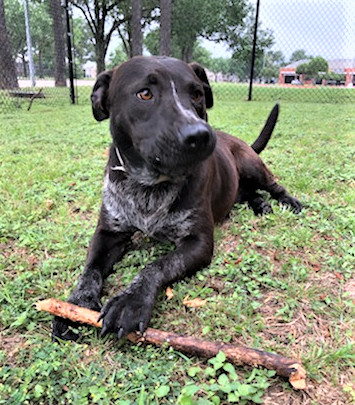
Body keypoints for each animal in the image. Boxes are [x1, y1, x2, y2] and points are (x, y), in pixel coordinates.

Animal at [52, 55, 304, 340]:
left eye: (197, 94)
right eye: (145, 93)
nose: (200, 134)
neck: (149, 187)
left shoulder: (198, 242)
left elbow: (157, 266)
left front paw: (131, 301)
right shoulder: (108, 233)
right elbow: (90, 270)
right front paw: (76, 306)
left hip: (252, 165)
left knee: (272, 185)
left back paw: (287, 201)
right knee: (250, 193)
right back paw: (260, 204)